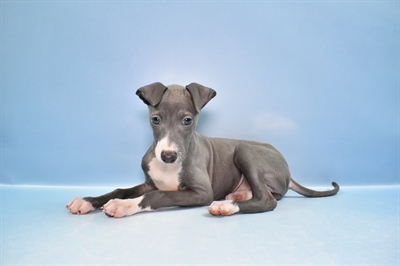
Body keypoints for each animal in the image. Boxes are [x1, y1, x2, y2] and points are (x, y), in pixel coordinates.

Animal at [67, 82, 340, 217]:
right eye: (156, 120)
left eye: (187, 120)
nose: (168, 155)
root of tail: (287, 170)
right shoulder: (149, 182)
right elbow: (121, 189)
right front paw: (88, 201)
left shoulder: (200, 192)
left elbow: (160, 196)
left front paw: (123, 206)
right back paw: (237, 196)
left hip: (243, 150)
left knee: (268, 200)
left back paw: (226, 206)